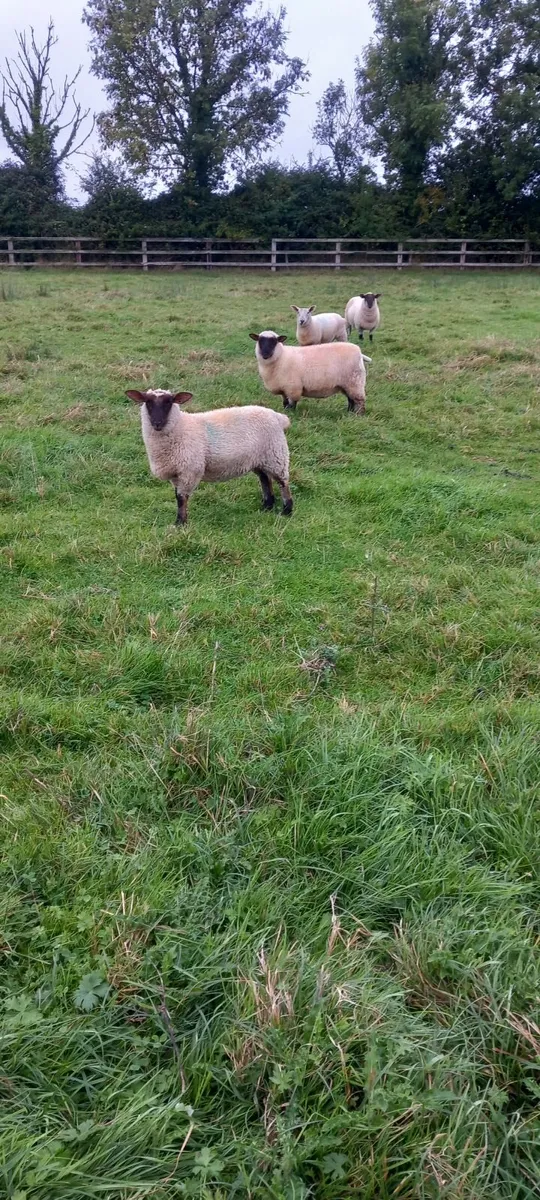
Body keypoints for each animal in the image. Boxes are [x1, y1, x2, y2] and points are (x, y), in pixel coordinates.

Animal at [126, 388, 293, 524]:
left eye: (169, 402)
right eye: (148, 402)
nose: (157, 423)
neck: (181, 427)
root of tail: (277, 416)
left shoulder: (189, 470)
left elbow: (181, 498)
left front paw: (180, 523)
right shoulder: (176, 473)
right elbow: (177, 496)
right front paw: (180, 521)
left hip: (276, 454)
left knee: (282, 481)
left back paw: (286, 511)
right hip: (259, 459)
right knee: (265, 479)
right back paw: (267, 506)